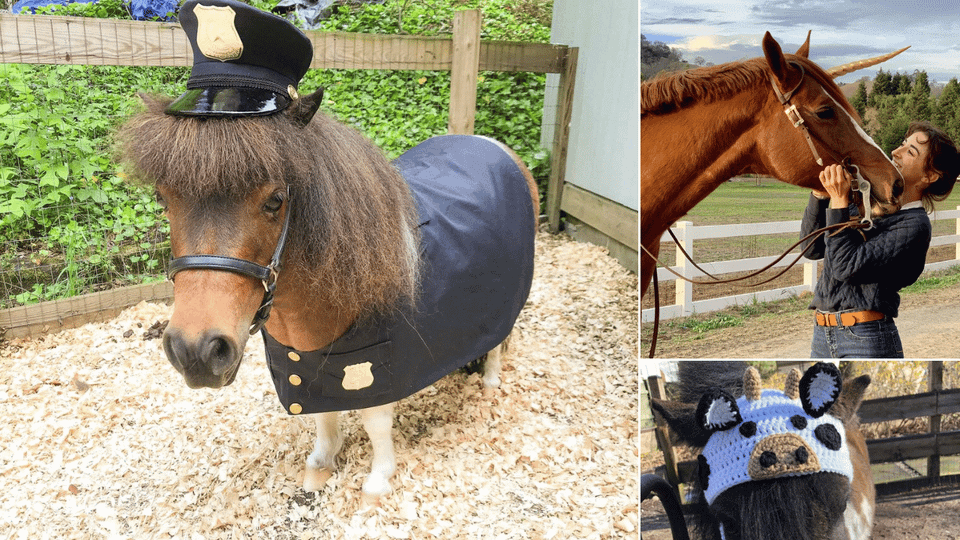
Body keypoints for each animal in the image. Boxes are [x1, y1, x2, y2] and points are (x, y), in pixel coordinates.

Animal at [115, 90, 539, 497]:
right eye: (163, 199)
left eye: (275, 200)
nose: (196, 350)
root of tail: (493, 145)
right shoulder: (304, 365)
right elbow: (321, 411)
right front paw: (321, 462)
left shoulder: (377, 366)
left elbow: (375, 420)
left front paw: (378, 481)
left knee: (500, 338)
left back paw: (490, 381)